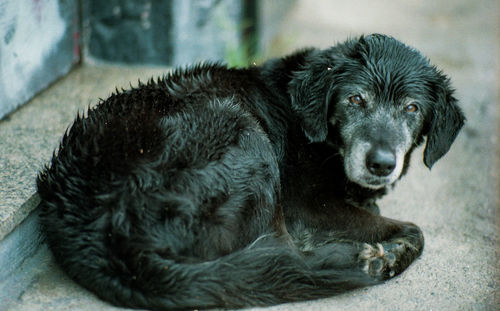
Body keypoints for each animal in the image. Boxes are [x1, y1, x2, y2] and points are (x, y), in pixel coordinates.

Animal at [37, 35, 462, 310]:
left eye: (412, 108)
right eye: (355, 99)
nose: (381, 162)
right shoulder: (308, 207)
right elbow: (415, 232)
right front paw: (389, 248)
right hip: (244, 131)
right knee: (286, 261)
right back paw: (360, 258)